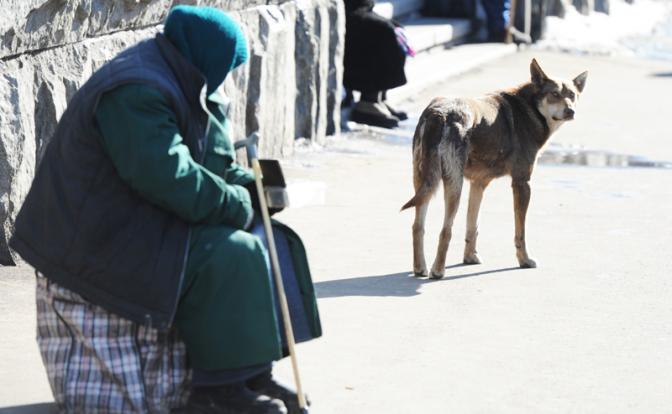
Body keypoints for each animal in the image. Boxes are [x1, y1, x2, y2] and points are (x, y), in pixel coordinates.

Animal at [402, 58, 584, 278]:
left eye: (572, 95)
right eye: (554, 94)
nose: (571, 111)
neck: (530, 109)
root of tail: (440, 114)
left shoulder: (478, 184)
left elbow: (473, 225)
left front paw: (470, 257)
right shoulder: (522, 183)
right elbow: (520, 232)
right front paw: (524, 260)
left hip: (423, 182)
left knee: (417, 226)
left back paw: (420, 268)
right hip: (454, 184)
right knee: (445, 230)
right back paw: (437, 271)